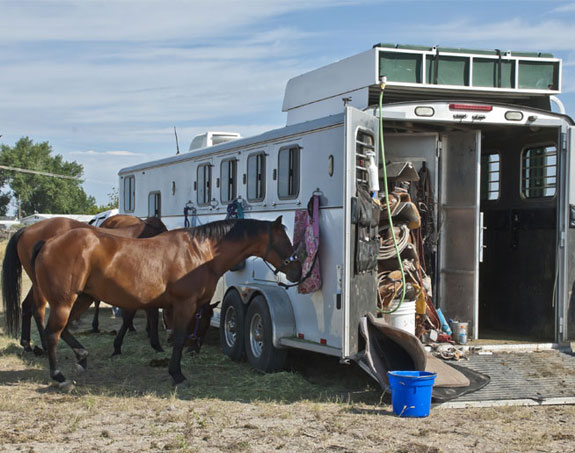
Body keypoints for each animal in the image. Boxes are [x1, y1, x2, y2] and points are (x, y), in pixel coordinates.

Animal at [1, 214, 169, 354]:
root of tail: (26, 230)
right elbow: (143, 314)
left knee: (26, 305)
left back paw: (27, 344)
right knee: (38, 309)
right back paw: (44, 345)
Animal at [25, 217, 302, 386]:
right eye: (284, 241)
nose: (297, 270)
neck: (201, 253)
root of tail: (47, 243)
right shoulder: (184, 305)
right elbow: (178, 339)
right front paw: (176, 374)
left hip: (82, 298)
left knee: (63, 330)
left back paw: (82, 357)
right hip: (64, 302)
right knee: (52, 333)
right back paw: (58, 375)